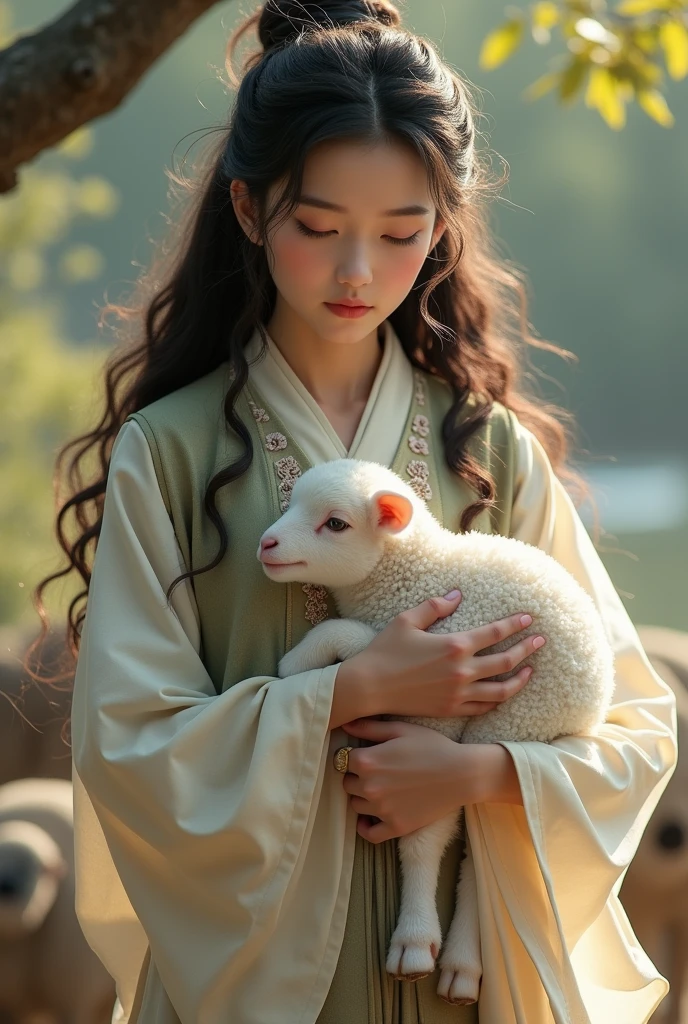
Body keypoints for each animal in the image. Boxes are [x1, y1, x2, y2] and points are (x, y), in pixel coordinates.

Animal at [256, 460, 614, 1003]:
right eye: (292, 501)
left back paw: (460, 962)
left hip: (516, 716)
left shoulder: (436, 688)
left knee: (473, 853)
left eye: (335, 524)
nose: (267, 543)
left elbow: (425, 837)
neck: (412, 576)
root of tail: (599, 696)